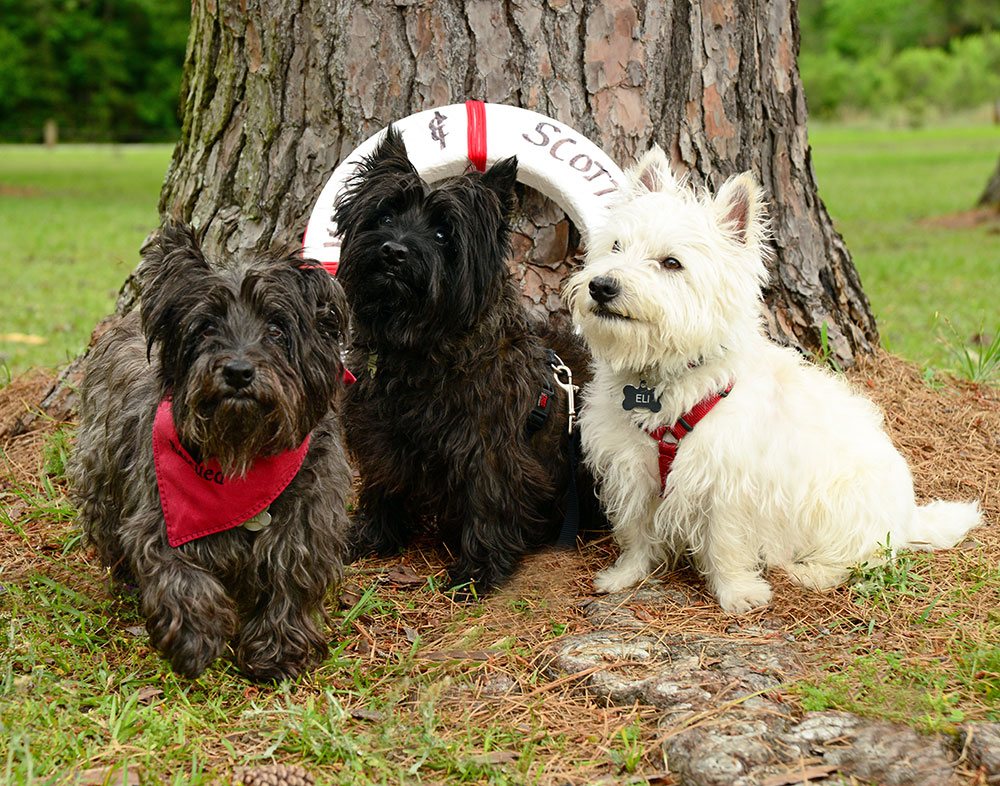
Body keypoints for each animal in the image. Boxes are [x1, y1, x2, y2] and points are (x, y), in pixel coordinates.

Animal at [69, 220, 352, 680]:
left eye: (276, 329)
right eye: (205, 328)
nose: (237, 371)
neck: (242, 458)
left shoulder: (307, 525)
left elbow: (290, 583)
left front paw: (277, 651)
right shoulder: (163, 518)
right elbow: (181, 576)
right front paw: (196, 639)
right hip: (101, 471)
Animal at [332, 125, 588, 596]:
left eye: (442, 235)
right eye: (386, 216)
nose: (394, 252)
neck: (419, 348)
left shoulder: (489, 450)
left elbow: (489, 503)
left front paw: (478, 570)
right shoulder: (380, 436)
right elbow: (382, 484)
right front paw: (371, 535)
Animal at [568, 147, 980, 612]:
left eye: (671, 263)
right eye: (616, 246)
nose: (602, 286)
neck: (666, 378)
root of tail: (911, 516)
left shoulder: (729, 484)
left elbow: (726, 544)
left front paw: (737, 594)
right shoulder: (631, 467)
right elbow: (635, 529)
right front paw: (626, 575)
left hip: (845, 503)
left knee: (861, 557)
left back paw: (808, 572)